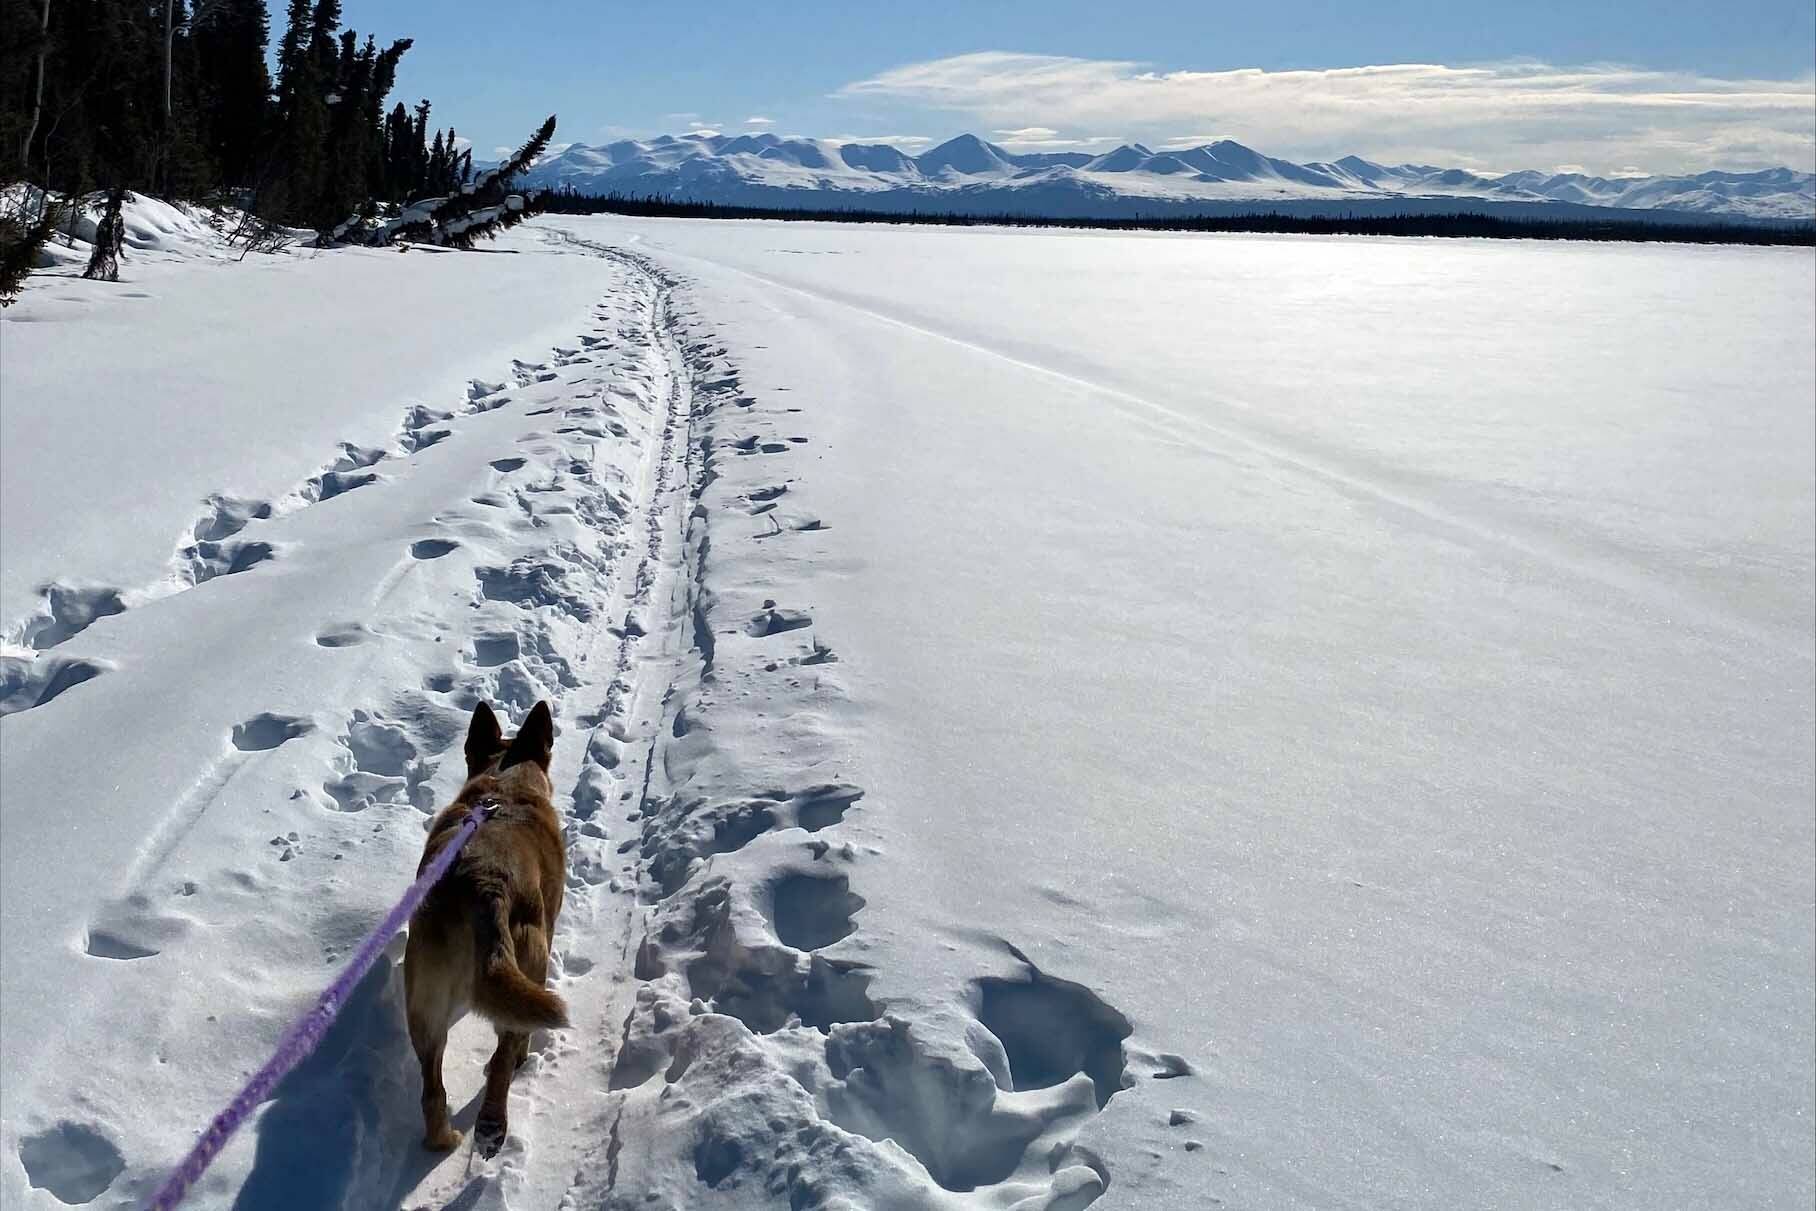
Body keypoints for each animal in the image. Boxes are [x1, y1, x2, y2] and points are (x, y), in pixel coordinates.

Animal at [404, 700, 566, 1154]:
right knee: (504, 1052)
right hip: (531, 958)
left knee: (432, 1090)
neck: (505, 783)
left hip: (424, 1002)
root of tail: (483, 883)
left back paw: (443, 1140)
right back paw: (493, 1122)